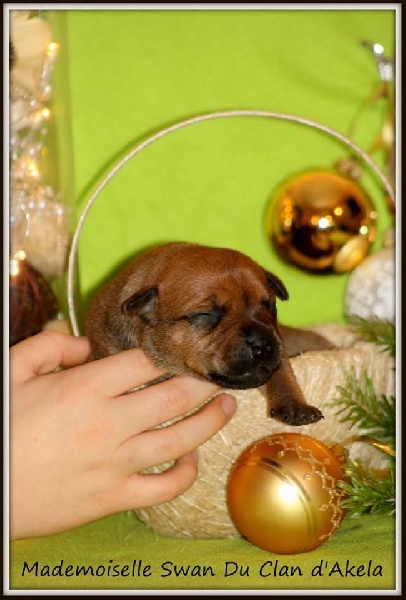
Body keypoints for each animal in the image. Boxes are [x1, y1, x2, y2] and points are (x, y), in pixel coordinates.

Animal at [85, 242, 333, 425]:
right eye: (207, 314)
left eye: (269, 305)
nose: (262, 345)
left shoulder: (278, 343)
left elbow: (282, 370)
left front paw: (295, 405)